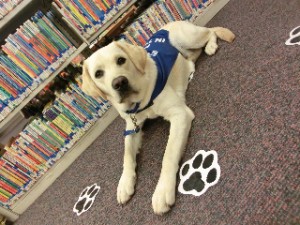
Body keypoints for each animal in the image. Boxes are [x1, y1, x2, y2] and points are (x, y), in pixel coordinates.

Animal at [81, 20, 236, 214]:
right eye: (98, 74)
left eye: (121, 60)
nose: (119, 82)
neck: (139, 103)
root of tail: (171, 22)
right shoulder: (131, 127)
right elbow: (127, 155)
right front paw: (124, 183)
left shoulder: (180, 114)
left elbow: (168, 155)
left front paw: (162, 191)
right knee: (192, 56)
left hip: (189, 37)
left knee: (210, 31)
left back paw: (211, 45)